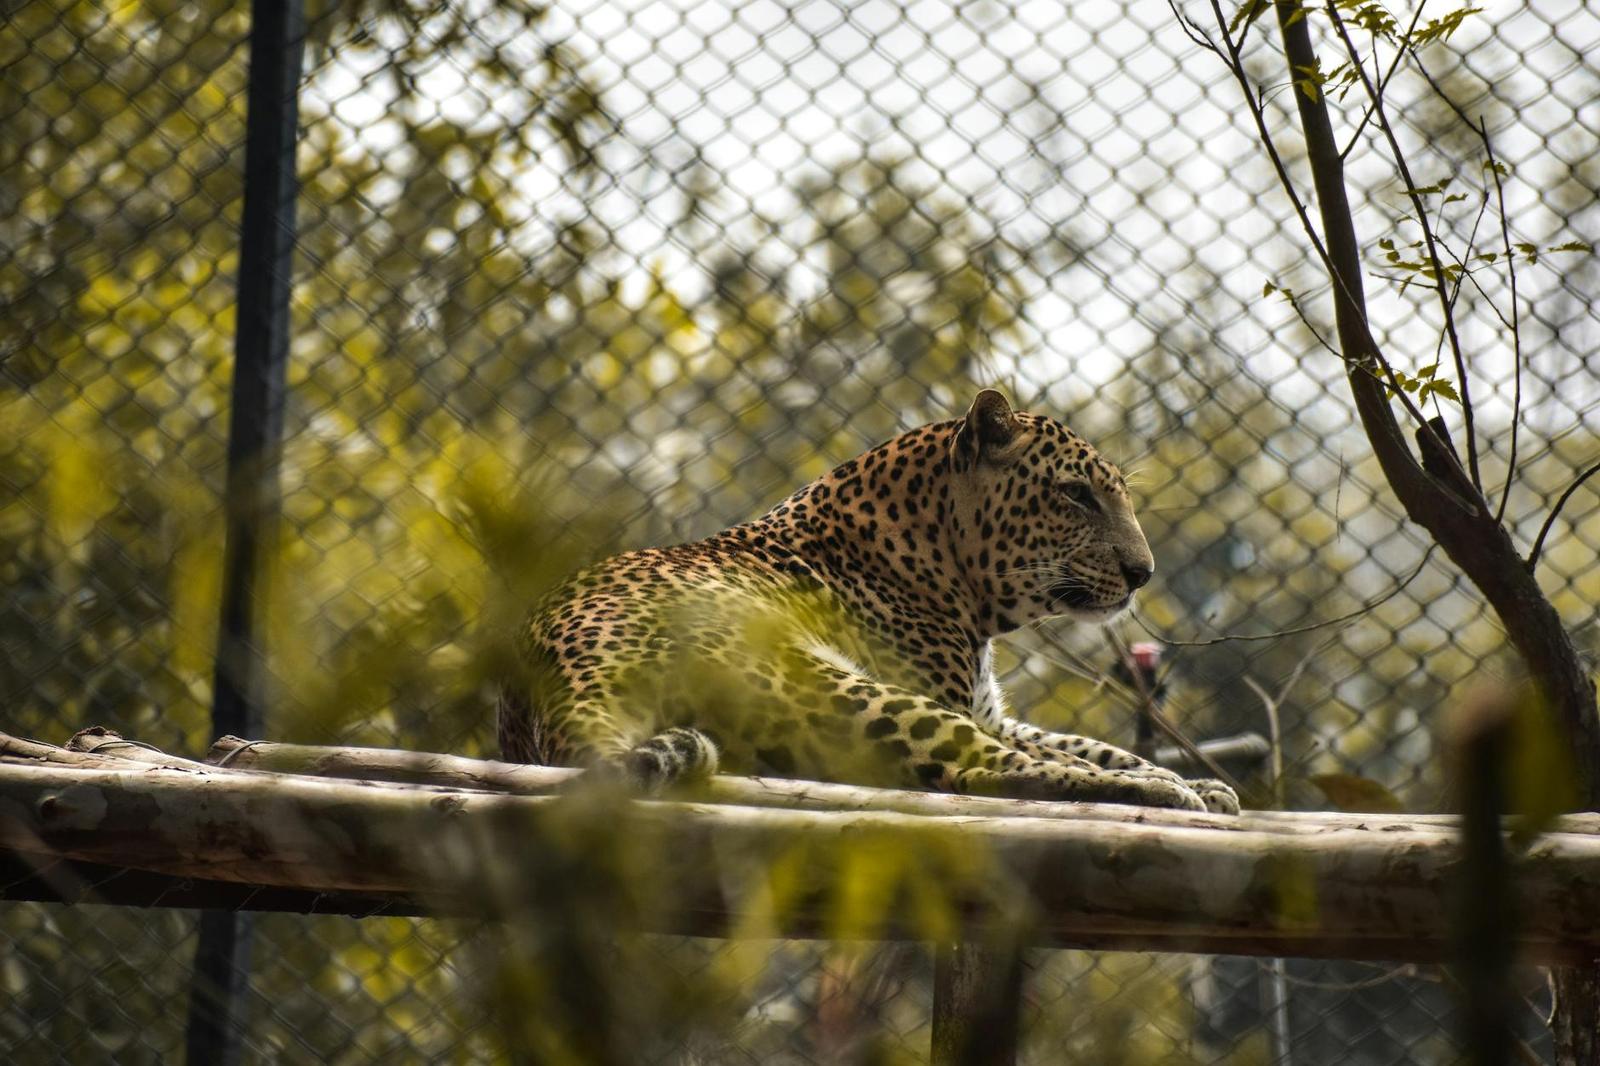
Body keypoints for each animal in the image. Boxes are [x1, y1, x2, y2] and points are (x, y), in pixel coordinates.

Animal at [498, 389, 1239, 815]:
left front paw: (1209, 784)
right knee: (973, 775)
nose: (1143, 573)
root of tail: (557, 675)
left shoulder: (989, 710)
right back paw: (1163, 796)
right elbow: (1067, 755)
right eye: (1075, 494)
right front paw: (1180, 784)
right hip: (827, 682)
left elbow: (1096, 745)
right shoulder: (950, 701)